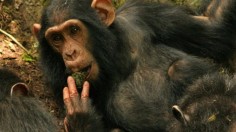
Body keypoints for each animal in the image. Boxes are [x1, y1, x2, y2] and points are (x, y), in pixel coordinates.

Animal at [33, 0, 236, 131]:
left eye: (73, 30)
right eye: (57, 38)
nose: (69, 53)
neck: (115, 62)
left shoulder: (143, 14)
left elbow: (213, 27)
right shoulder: (58, 80)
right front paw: (80, 116)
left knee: (179, 68)